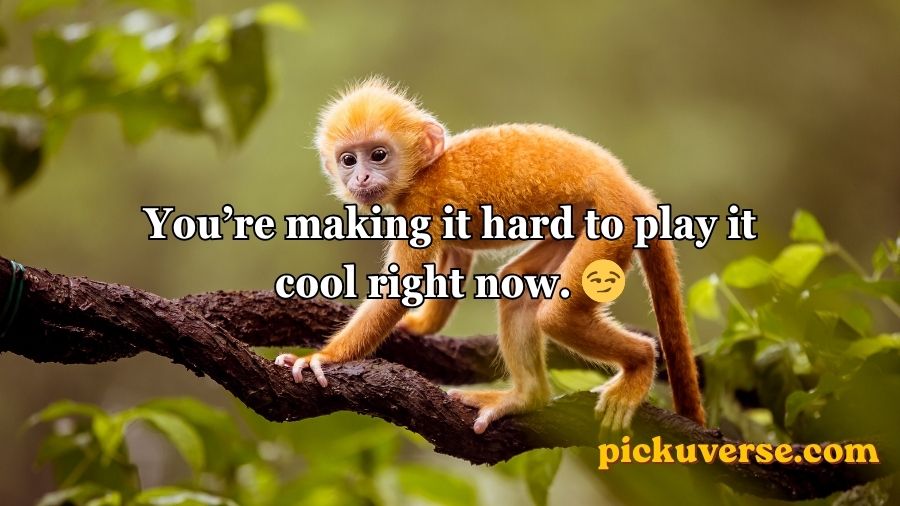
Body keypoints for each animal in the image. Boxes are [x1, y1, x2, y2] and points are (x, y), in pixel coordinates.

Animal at [274, 77, 705, 434]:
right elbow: (454, 257)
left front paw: (322, 359)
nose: (361, 177)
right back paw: (527, 397)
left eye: (378, 155)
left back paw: (640, 363)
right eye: (349, 160)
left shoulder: (423, 201)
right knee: (519, 289)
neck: (423, 170)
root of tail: (631, 189)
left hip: (614, 222)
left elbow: (399, 290)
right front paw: (417, 326)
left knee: (558, 315)